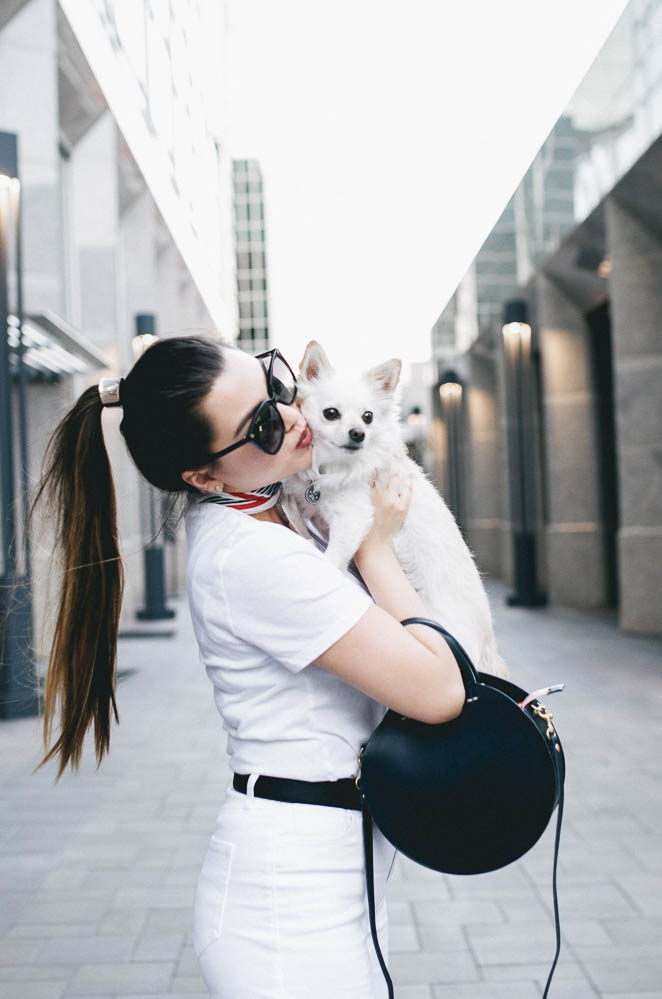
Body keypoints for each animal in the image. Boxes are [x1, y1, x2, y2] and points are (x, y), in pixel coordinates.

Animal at [280, 340, 509, 679]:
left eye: (368, 417)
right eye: (331, 414)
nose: (358, 433)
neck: (333, 465)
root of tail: (487, 649)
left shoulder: (352, 518)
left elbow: (331, 559)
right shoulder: (307, 501)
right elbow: (293, 501)